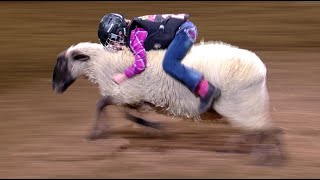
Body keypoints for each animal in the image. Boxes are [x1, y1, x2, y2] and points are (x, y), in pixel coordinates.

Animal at [52, 40, 284, 166]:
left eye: (62, 63)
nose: (55, 87)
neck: (103, 64)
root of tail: (260, 70)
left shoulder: (126, 92)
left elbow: (102, 104)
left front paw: (96, 134)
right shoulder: (135, 97)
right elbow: (124, 112)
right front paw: (151, 127)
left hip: (241, 104)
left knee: (263, 130)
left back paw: (261, 158)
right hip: (252, 103)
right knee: (269, 129)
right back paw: (268, 155)